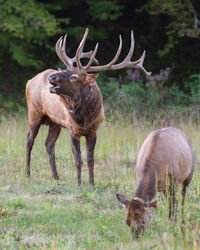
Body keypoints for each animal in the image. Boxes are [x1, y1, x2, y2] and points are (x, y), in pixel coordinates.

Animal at [25, 28, 151, 187]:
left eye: (74, 77)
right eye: (65, 69)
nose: (51, 78)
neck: (84, 118)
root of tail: (29, 81)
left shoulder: (93, 130)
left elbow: (91, 159)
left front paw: (91, 183)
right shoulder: (73, 130)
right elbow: (78, 159)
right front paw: (79, 184)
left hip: (55, 122)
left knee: (49, 144)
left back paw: (56, 176)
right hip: (33, 112)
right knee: (29, 140)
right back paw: (27, 173)